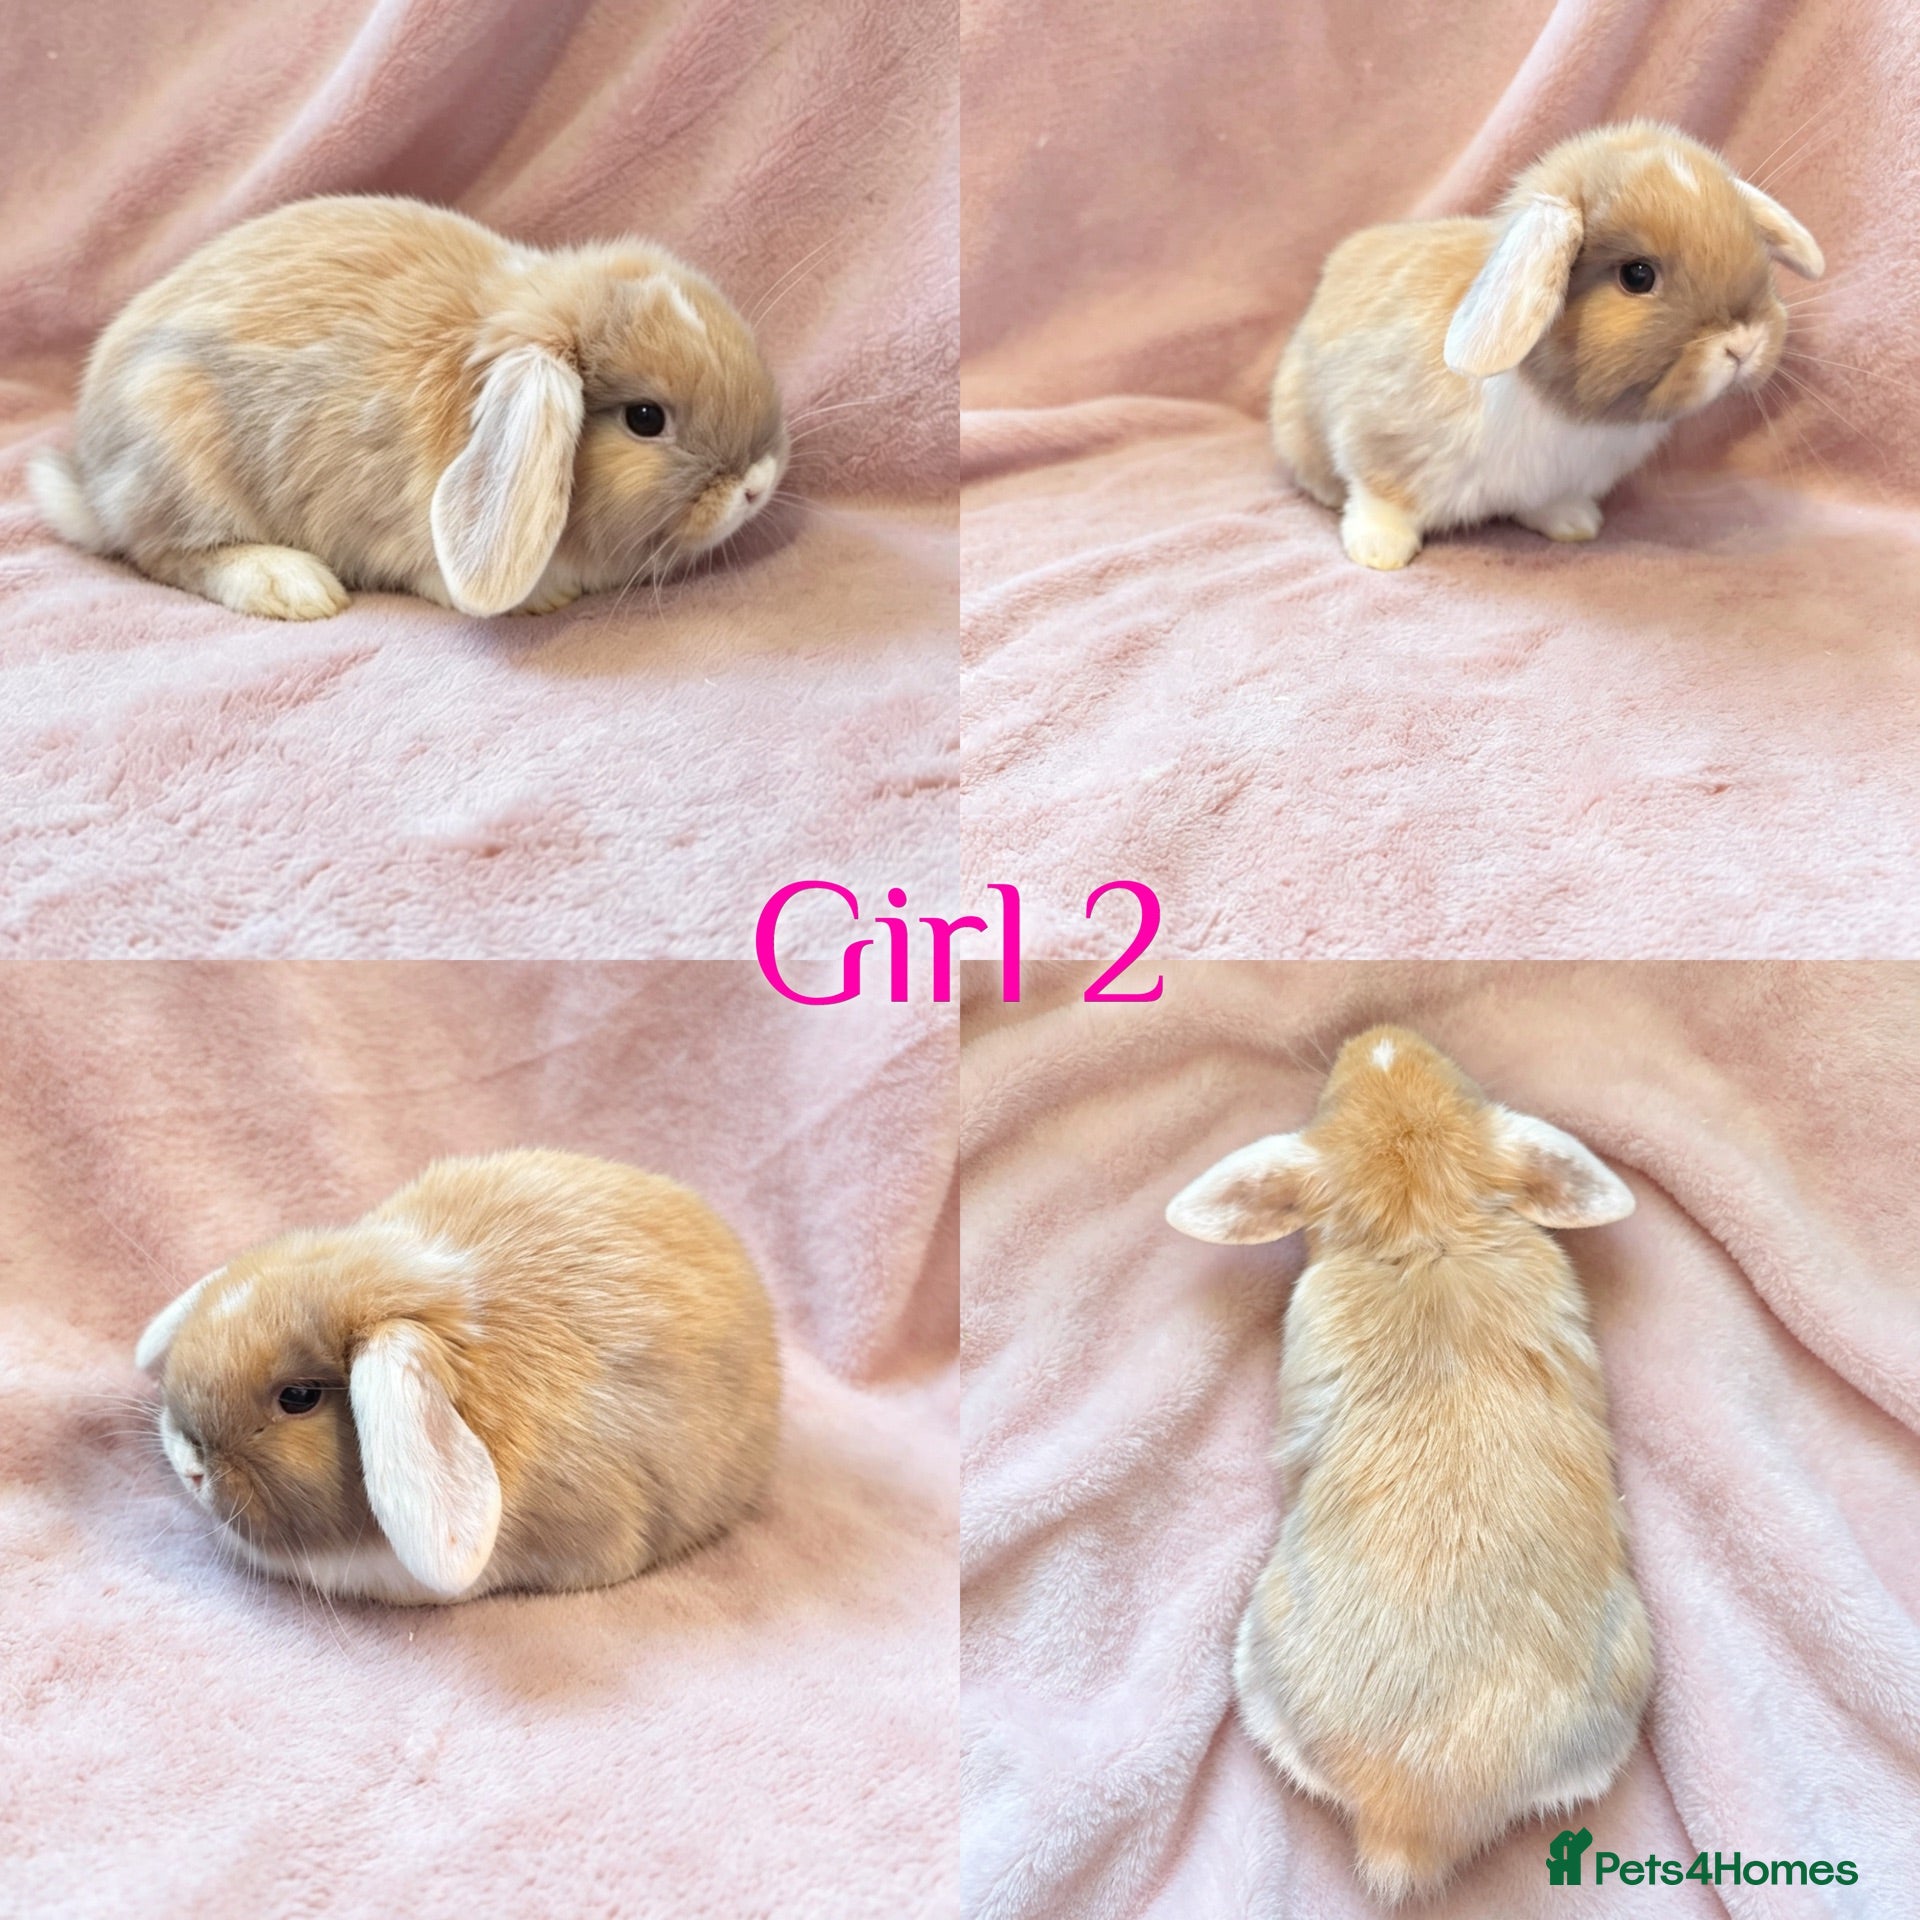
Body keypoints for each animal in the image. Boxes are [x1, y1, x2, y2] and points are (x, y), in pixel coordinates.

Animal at [27, 195, 787, 619]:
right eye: (645, 419)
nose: (758, 484)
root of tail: (92, 480)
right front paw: (541, 598)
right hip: (177, 444)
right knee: (163, 553)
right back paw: (295, 587)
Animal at [1271, 121, 1824, 568]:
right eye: (1637, 275)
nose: (1744, 343)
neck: (1566, 413)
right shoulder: (1379, 438)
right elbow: (1380, 496)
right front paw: (1379, 550)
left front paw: (1577, 525)